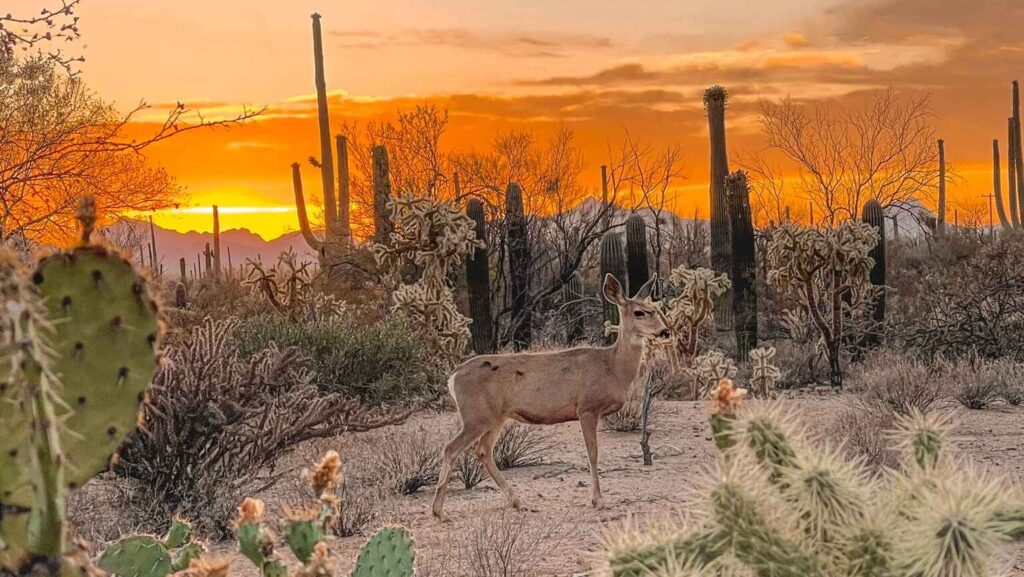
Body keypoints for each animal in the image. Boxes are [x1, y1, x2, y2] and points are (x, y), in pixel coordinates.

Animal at [428, 272, 667, 518]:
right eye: (639, 312)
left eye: (655, 309)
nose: (664, 331)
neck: (611, 367)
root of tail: (453, 377)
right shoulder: (587, 408)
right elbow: (593, 453)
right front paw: (598, 500)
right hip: (476, 416)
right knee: (451, 448)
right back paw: (438, 511)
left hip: (496, 417)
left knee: (483, 451)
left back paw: (517, 502)